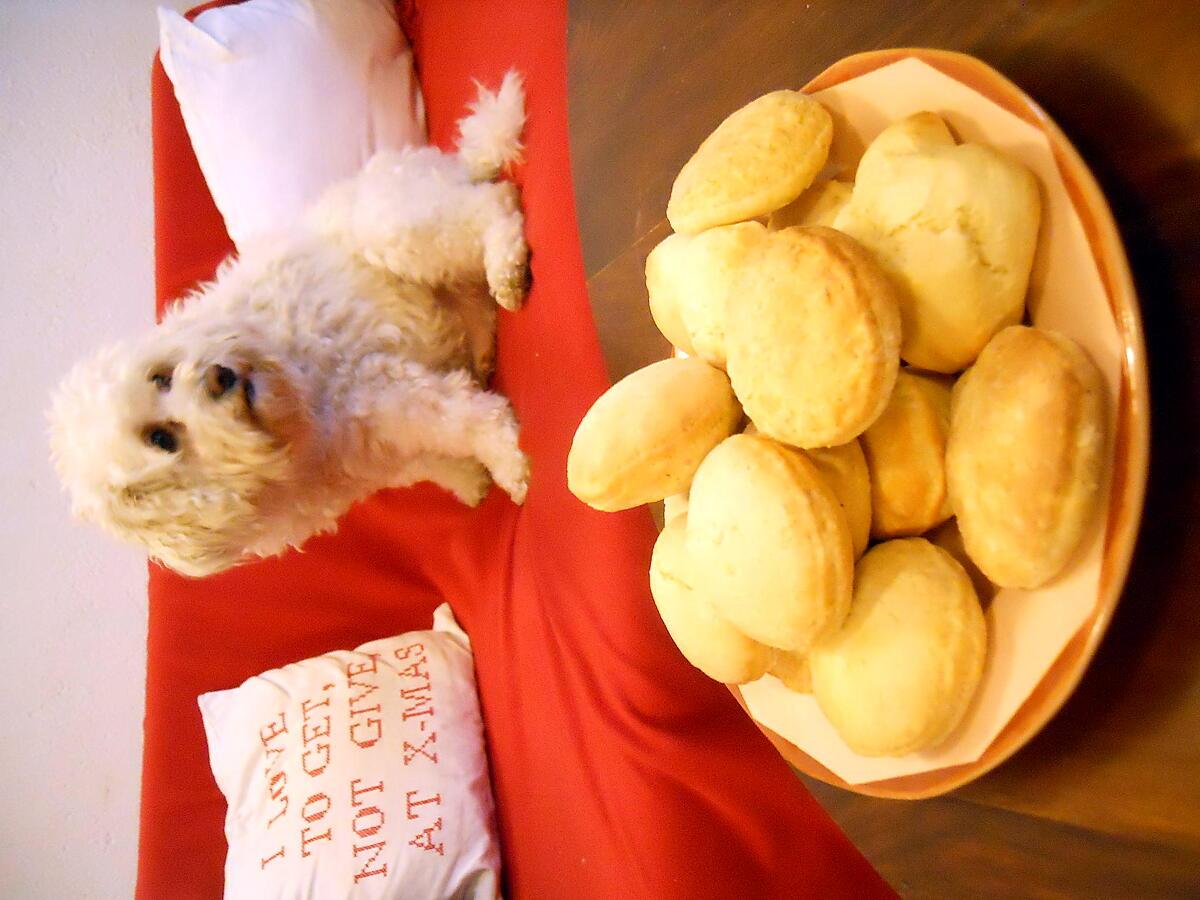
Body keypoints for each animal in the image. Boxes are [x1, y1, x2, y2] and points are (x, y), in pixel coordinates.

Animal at [50, 70, 530, 578]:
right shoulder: (379, 454)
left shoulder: (378, 393)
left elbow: (466, 422)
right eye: (162, 439)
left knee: (493, 204)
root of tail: (445, 164)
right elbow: (437, 458)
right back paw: (482, 347)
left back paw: (506, 270)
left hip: (396, 231)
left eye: (159, 376)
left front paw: (509, 461)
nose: (218, 375)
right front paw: (473, 480)